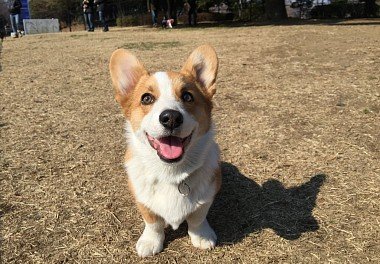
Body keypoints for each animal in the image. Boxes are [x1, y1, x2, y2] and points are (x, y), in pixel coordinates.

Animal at [108, 44, 221, 256]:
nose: (171, 118)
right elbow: (153, 223)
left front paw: (201, 237)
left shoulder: (207, 197)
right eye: (146, 98)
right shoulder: (143, 201)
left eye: (187, 96)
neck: (170, 172)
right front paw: (150, 242)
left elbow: (197, 218)